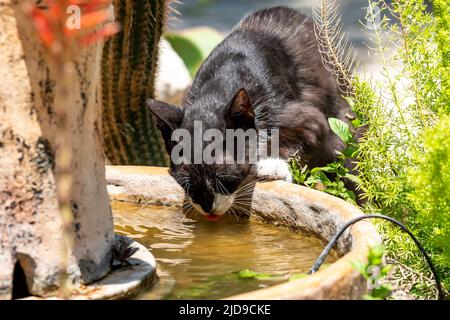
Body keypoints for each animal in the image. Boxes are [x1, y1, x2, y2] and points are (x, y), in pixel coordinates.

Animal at [148, 6, 356, 220]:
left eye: (225, 179)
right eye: (186, 184)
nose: (208, 208)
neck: (218, 88)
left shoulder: (304, 114)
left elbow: (295, 131)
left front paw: (272, 165)